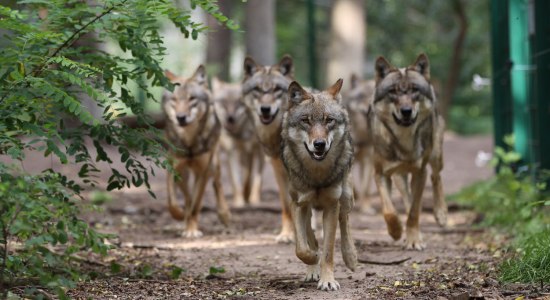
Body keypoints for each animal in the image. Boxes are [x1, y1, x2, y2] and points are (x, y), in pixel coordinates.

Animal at [164, 65, 233, 237]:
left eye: (192, 99)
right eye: (174, 99)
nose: (181, 117)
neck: (189, 142)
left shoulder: (203, 171)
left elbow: (196, 204)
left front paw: (191, 231)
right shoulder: (174, 168)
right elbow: (173, 201)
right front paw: (181, 216)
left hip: (213, 164)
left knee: (217, 183)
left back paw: (224, 214)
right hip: (185, 173)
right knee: (188, 196)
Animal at [211, 77, 266, 207]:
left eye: (237, 103)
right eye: (223, 102)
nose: (230, 118)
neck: (238, 133)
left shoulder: (248, 150)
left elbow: (247, 177)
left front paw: (246, 196)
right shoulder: (232, 151)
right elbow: (236, 180)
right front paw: (239, 202)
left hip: (260, 153)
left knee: (258, 176)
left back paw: (254, 198)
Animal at [244, 55, 298, 243]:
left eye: (276, 89)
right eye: (258, 90)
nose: (265, 109)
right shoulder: (278, 171)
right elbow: (287, 207)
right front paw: (287, 235)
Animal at [282, 78, 360, 290]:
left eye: (329, 120)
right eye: (306, 120)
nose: (319, 144)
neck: (316, 175)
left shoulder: (331, 205)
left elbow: (328, 251)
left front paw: (328, 281)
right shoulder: (298, 204)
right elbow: (302, 248)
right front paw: (313, 260)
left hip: (346, 196)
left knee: (345, 221)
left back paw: (351, 257)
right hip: (307, 207)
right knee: (311, 235)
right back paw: (312, 269)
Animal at [366, 54, 448, 251]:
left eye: (414, 90)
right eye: (393, 92)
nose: (406, 111)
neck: (404, 141)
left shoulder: (420, 173)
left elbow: (413, 213)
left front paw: (413, 240)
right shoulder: (380, 174)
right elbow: (389, 211)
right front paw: (396, 231)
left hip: (435, 156)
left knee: (435, 177)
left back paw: (441, 214)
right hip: (398, 177)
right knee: (407, 197)